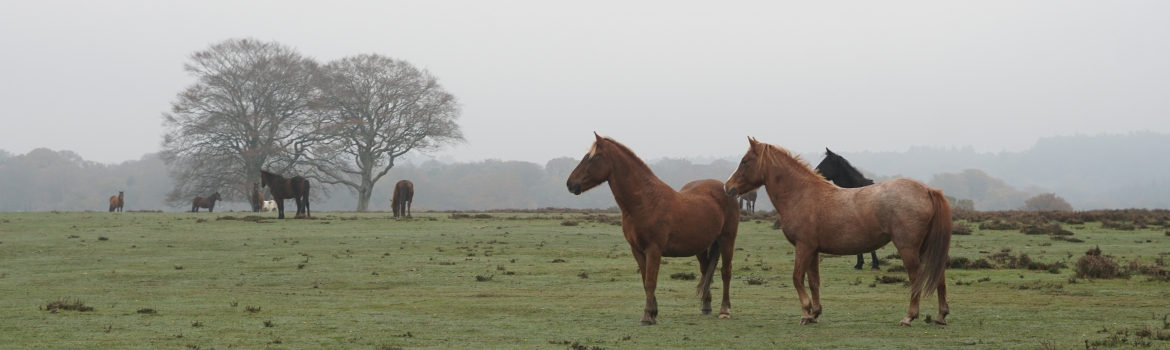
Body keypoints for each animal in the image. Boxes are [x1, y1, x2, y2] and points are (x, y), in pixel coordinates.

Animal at [561, 134, 734, 325]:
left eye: (591, 157)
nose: (570, 184)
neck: (645, 201)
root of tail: (724, 188)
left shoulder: (653, 249)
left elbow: (651, 281)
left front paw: (647, 316)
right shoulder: (637, 250)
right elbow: (645, 282)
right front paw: (653, 313)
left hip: (727, 240)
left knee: (726, 272)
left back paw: (724, 310)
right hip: (701, 247)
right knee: (705, 272)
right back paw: (706, 306)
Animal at [720, 136, 950, 325]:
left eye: (745, 161)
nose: (727, 187)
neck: (801, 193)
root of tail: (928, 190)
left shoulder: (803, 247)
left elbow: (797, 278)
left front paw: (805, 312)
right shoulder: (813, 250)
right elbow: (814, 281)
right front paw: (815, 313)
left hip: (908, 247)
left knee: (916, 276)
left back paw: (909, 316)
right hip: (925, 247)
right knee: (939, 275)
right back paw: (941, 315)